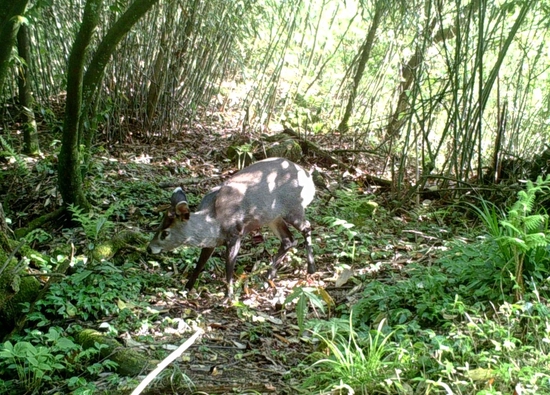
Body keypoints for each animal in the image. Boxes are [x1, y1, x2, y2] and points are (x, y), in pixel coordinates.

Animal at [149, 157, 316, 296]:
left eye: (165, 233)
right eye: (158, 226)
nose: (149, 248)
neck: (214, 220)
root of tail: (309, 178)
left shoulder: (236, 233)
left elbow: (229, 266)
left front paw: (229, 296)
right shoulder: (212, 241)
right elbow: (200, 264)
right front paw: (186, 288)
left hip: (294, 207)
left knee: (307, 226)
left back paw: (311, 268)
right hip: (272, 217)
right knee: (288, 239)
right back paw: (268, 278)